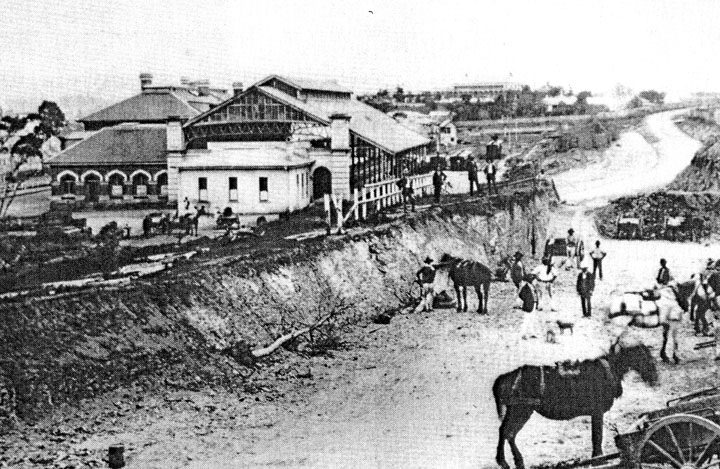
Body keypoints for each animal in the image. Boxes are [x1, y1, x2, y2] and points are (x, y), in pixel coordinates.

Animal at [492, 340, 656, 468]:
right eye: (645, 357)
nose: (655, 379)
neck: (609, 369)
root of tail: (506, 377)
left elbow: (596, 436)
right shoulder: (597, 412)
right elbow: (597, 436)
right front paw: (598, 458)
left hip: (518, 411)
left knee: (506, 432)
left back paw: (510, 461)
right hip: (521, 410)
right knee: (508, 433)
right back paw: (509, 461)